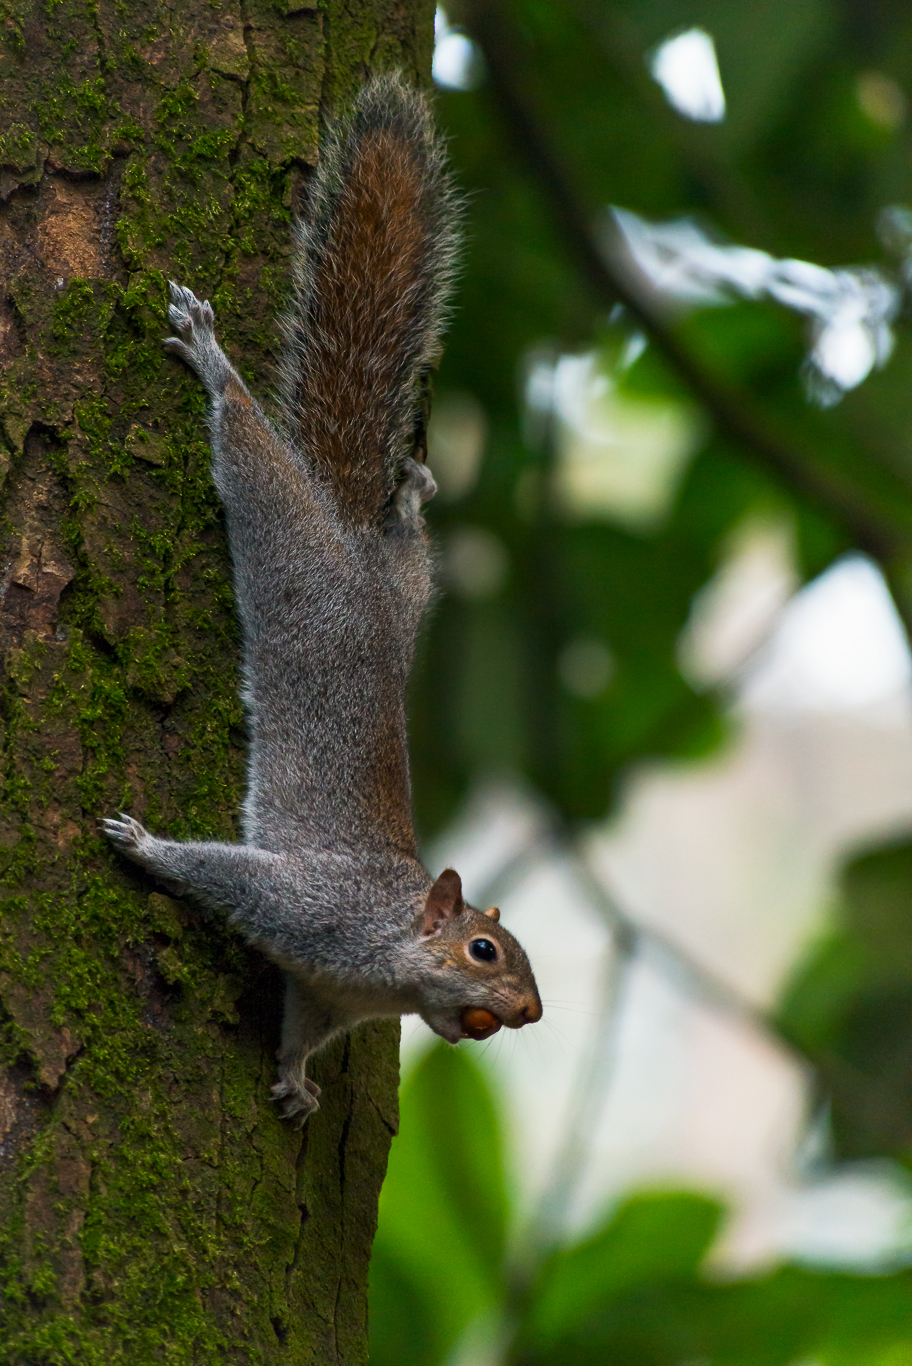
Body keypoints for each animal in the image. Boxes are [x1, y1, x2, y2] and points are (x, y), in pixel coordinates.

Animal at [103, 74, 542, 1124]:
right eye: (483, 949)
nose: (532, 1011)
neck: (384, 962)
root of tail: (346, 538)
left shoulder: (326, 990)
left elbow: (301, 1028)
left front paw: (298, 1085)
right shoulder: (309, 908)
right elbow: (225, 874)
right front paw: (149, 848)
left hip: (410, 587)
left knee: (408, 548)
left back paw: (412, 497)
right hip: (284, 538)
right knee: (251, 454)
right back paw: (214, 362)